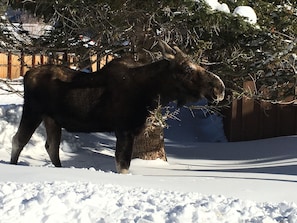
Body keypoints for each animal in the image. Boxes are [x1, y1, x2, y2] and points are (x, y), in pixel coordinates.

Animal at [11, 41, 224, 174]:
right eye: (187, 68)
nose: (219, 88)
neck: (154, 93)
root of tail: (27, 74)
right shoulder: (125, 129)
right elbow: (123, 165)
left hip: (52, 119)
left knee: (51, 147)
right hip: (33, 111)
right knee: (19, 140)